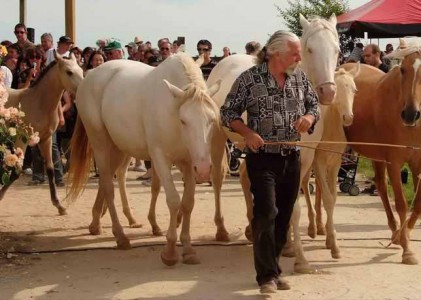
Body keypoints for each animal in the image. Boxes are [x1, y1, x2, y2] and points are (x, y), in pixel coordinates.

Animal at [1, 53, 83, 213]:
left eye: (82, 70)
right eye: (69, 72)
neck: (38, 102)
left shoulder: (46, 139)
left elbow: (50, 169)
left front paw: (59, 205)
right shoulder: (21, 139)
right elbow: (15, 172)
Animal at [66, 52, 221, 266]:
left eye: (211, 120)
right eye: (184, 121)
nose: (205, 169)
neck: (171, 110)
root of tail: (89, 76)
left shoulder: (189, 162)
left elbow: (188, 202)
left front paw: (188, 248)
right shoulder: (160, 156)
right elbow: (174, 200)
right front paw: (170, 251)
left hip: (119, 146)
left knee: (112, 179)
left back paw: (97, 223)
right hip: (100, 143)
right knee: (108, 186)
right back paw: (120, 236)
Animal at [342, 38, 421, 264]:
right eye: (402, 69)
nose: (410, 114)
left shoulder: (417, 162)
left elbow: (418, 204)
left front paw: (405, 234)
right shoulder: (394, 161)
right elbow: (402, 204)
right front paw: (407, 249)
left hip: (376, 155)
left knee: (381, 186)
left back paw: (395, 232)